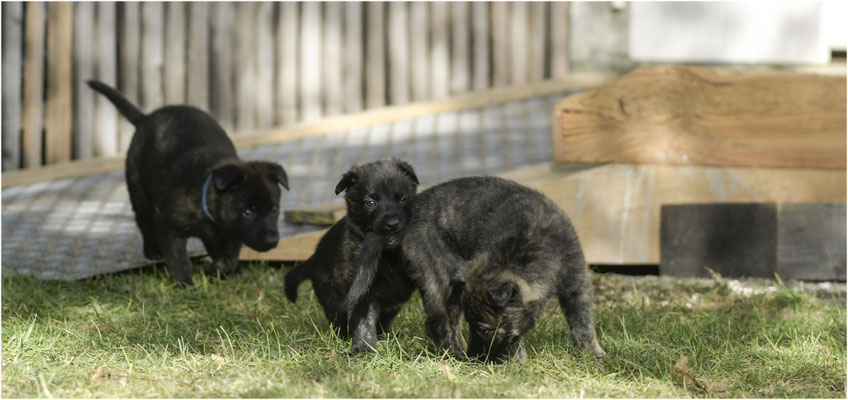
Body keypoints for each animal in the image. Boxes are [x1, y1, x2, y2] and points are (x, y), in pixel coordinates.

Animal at [88, 81, 288, 286]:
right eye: (248, 212)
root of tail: (147, 118)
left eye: (274, 210)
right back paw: (152, 250)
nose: (272, 240)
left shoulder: (233, 232)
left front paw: (219, 270)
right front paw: (183, 282)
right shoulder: (168, 226)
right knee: (143, 221)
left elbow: (229, 257)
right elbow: (179, 259)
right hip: (139, 193)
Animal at [284, 159, 418, 354]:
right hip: (333, 299)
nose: (393, 224)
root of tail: (314, 258)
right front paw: (362, 349)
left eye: (403, 199)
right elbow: (364, 321)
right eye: (370, 203)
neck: (388, 255)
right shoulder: (363, 290)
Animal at [402, 177, 608, 364]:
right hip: (441, 278)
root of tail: (412, 207)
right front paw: (517, 360)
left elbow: (583, 321)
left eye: (484, 330)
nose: (475, 358)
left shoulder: (577, 286)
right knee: (442, 322)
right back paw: (455, 355)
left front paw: (591, 352)